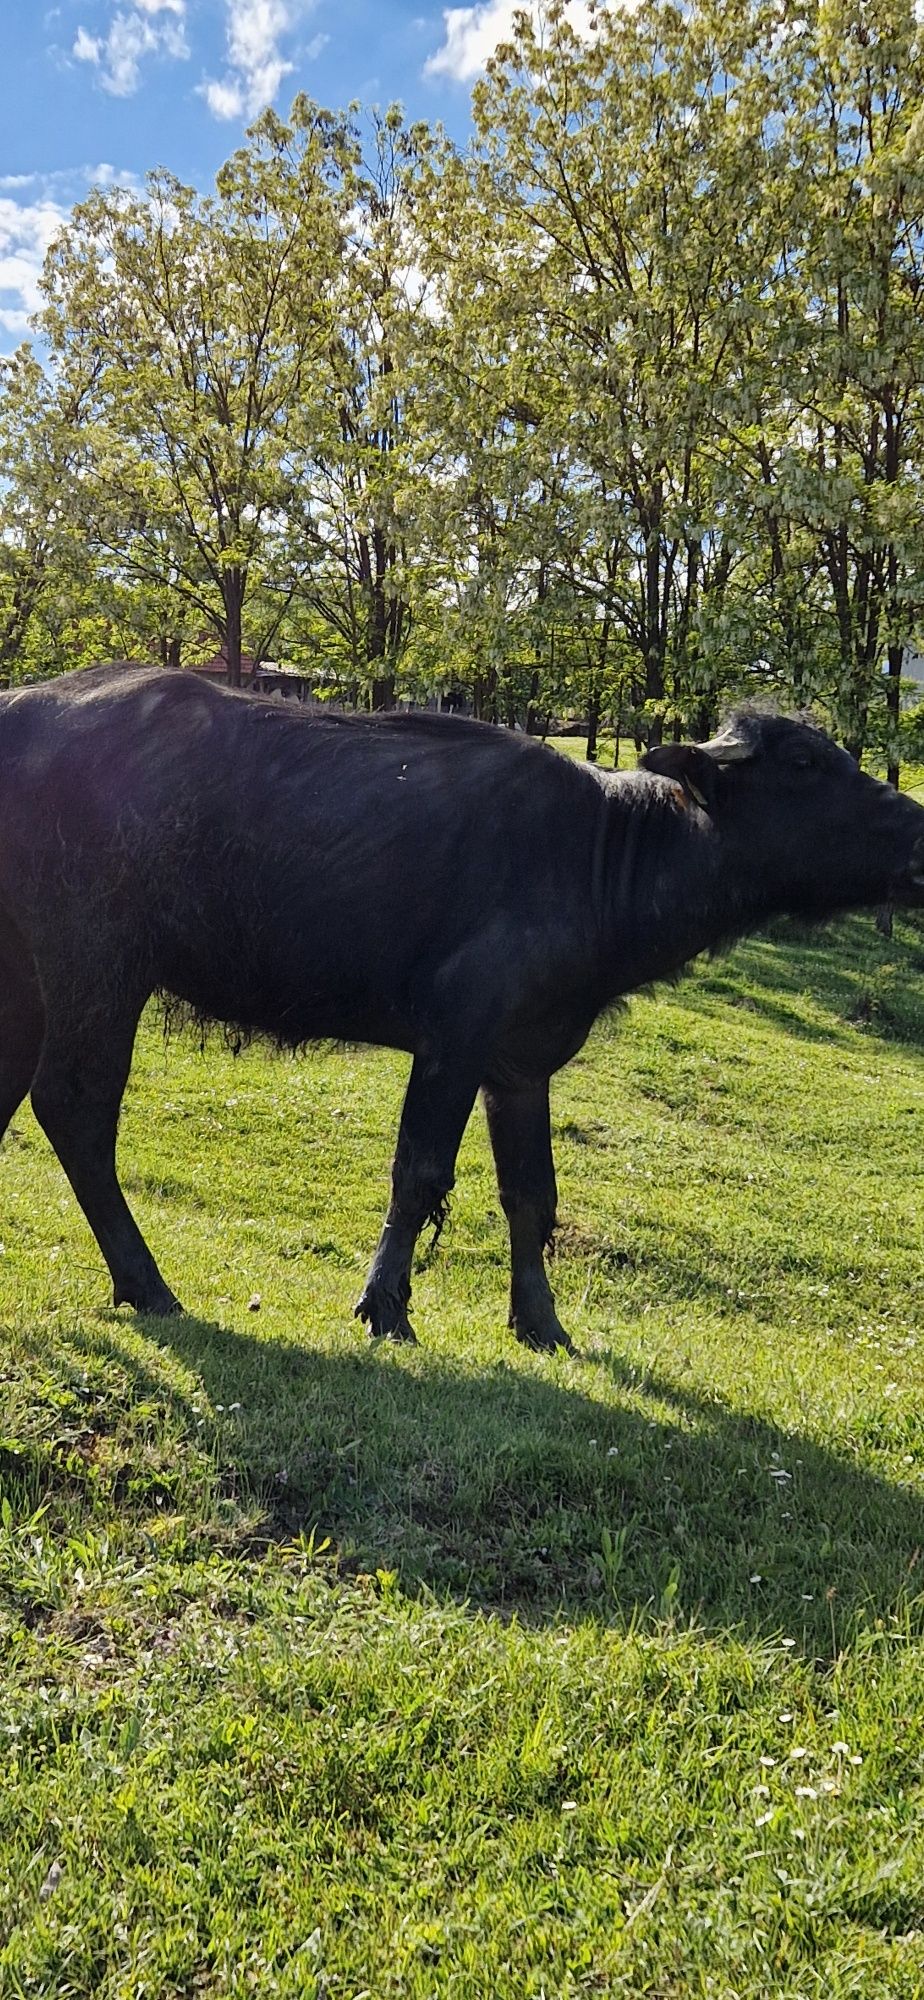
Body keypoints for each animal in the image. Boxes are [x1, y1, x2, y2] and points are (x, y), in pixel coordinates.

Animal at [1, 664, 924, 1352]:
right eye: (804, 765)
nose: (918, 831)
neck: (601, 857)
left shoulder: (520, 1064)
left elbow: (532, 1195)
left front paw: (542, 1323)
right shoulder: (455, 1035)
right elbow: (420, 1172)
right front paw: (386, 1305)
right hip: (99, 965)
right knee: (75, 1106)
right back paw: (148, 1284)